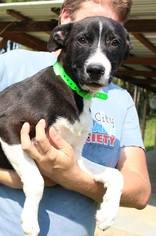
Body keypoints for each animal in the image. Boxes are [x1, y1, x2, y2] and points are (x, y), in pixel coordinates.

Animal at [0, 16, 130, 236]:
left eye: (115, 42)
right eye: (82, 40)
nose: (96, 70)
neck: (74, 91)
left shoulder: (73, 155)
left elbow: (116, 174)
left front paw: (108, 214)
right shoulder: (8, 125)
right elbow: (37, 181)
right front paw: (30, 221)